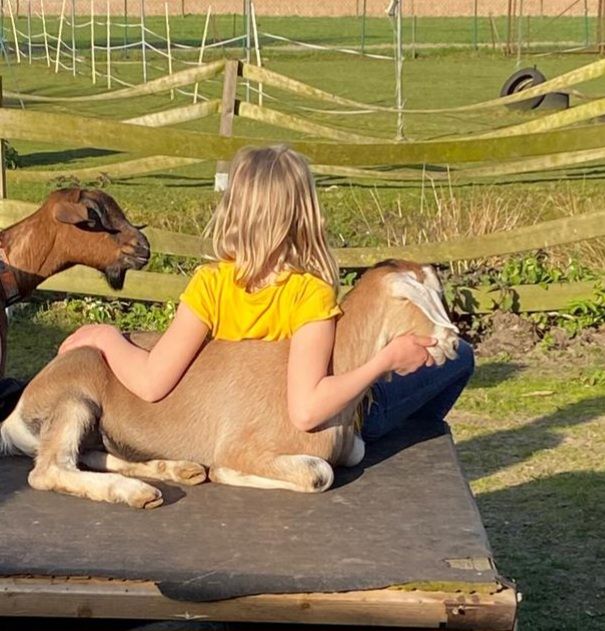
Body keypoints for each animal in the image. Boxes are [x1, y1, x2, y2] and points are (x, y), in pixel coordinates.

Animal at [0, 260, 458, 506]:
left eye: (437, 294)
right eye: (404, 299)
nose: (452, 340)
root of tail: (15, 414)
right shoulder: (245, 444)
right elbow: (318, 473)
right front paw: (224, 472)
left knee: (90, 454)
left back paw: (177, 469)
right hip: (74, 399)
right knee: (49, 469)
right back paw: (136, 492)